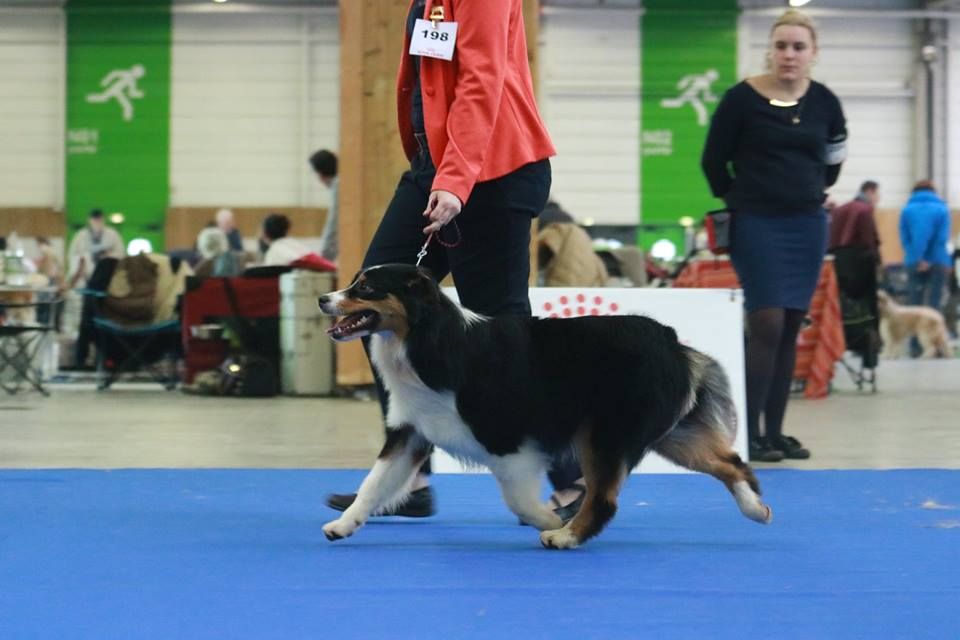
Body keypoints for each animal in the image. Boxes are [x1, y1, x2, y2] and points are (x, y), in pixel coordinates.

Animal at [317, 264, 772, 549]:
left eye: (365, 288)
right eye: (354, 282)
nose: (323, 298)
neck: (428, 339)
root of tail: (671, 340)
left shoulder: (509, 440)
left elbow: (516, 498)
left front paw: (549, 521)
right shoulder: (411, 430)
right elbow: (373, 484)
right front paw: (343, 525)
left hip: (606, 433)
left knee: (604, 498)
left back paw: (565, 537)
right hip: (672, 433)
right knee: (730, 462)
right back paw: (757, 509)